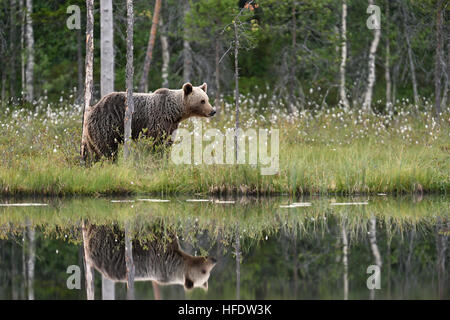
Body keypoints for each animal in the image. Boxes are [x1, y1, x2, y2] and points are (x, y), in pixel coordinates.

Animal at [82, 83, 216, 160]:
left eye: (207, 99)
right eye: (202, 101)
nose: (213, 111)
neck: (174, 113)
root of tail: (91, 110)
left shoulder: (171, 125)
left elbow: (168, 142)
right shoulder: (158, 119)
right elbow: (157, 142)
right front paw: (158, 159)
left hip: (92, 135)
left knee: (95, 151)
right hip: (106, 125)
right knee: (107, 149)